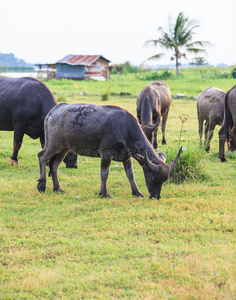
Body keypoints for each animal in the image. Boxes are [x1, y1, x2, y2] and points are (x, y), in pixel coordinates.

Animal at [37, 103, 182, 199]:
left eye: (165, 179)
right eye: (154, 177)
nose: (156, 196)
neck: (124, 129)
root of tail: (52, 112)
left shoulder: (127, 157)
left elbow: (130, 175)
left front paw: (137, 192)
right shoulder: (105, 154)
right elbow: (104, 174)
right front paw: (104, 193)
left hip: (64, 148)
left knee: (54, 165)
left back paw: (57, 188)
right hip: (53, 144)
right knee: (42, 156)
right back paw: (42, 185)